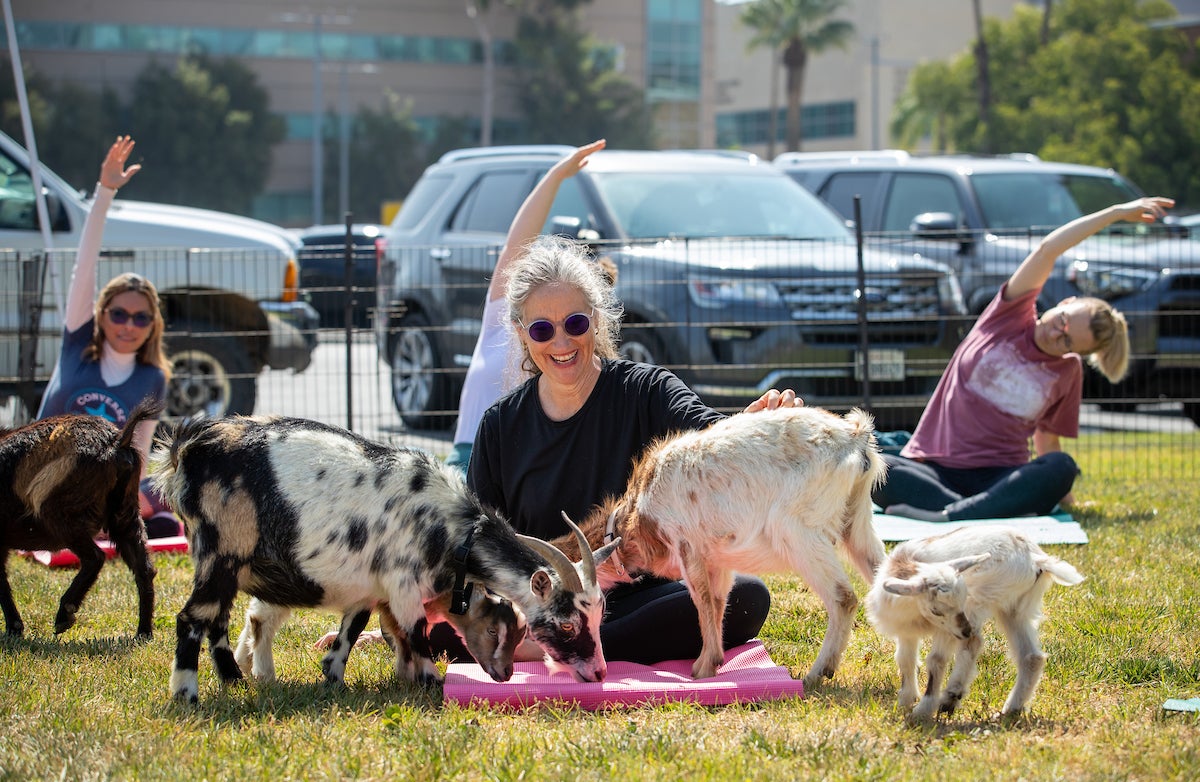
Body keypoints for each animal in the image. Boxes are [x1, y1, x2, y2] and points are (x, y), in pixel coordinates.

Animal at [0, 398, 164, 639]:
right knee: (144, 569)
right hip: (126, 513)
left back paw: (63, 616)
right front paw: (14, 630)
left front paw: (14, 630)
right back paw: (143, 633)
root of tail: (117, 441)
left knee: (95, 557)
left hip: (62, 515)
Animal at [234, 580, 526, 684]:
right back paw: (264, 673)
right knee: (261, 617)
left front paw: (405, 674)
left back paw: (243, 661)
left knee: (255, 612)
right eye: (492, 631)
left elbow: (403, 638)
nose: (507, 673)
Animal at [557, 405, 887, 687]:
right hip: (856, 522)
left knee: (843, 597)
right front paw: (712, 663)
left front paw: (702, 670)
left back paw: (817, 673)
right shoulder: (717, 560)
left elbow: (702, 602)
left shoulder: (686, 546)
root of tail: (856, 437)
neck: (638, 511)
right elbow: (717, 602)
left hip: (797, 529)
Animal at [865, 525, 1085, 721]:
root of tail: (1036, 558)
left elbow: (936, 661)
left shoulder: (947, 629)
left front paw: (922, 710)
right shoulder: (906, 629)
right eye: (936, 610)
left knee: (974, 643)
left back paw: (951, 698)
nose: (965, 630)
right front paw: (906, 699)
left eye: (960, 600)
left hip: (984, 596)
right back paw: (1010, 710)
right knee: (1031, 657)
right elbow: (905, 659)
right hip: (1014, 608)